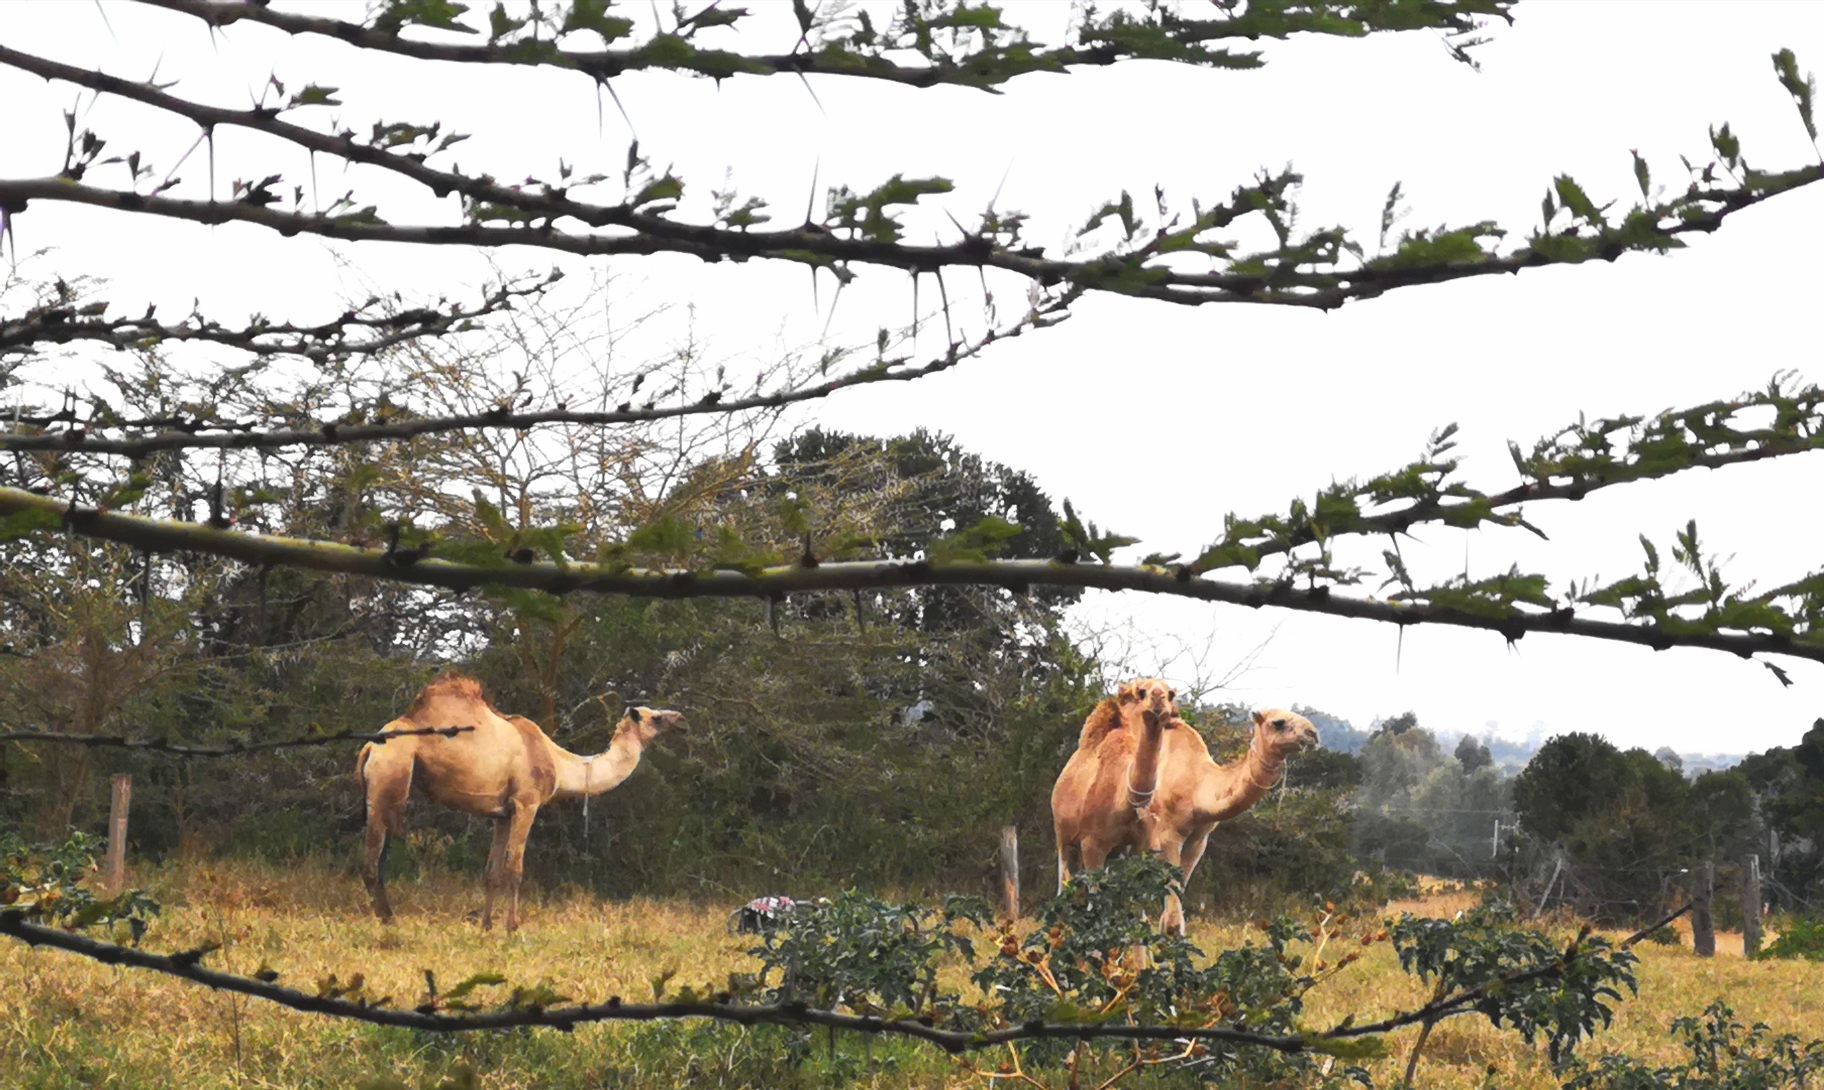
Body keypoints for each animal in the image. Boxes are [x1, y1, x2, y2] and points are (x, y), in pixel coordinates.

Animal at [353, 670, 685, 933]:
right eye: (655, 717)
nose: (682, 720)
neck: (559, 763)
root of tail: (370, 745)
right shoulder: (527, 803)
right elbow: (515, 867)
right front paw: (512, 927)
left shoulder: (502, 814)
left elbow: (492, 871)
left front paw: (486, 926)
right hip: (388, 776)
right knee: (371, 860)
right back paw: (388, 920)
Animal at [1050, 678, 1320, 933]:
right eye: (1278, 722)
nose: (1313, 734)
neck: (1198, 785)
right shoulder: (1167, 836)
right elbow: (1169, 918)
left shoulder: (1198, 840)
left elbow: (1172, 916)